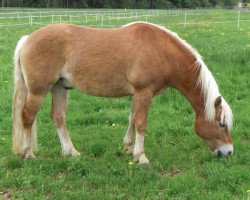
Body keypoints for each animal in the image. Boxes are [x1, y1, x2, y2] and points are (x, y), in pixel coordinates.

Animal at [12, 21, 234, 164]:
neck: (162, 51)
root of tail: (27, 39)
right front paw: (141, 157)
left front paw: (128, 148)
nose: (229, 152)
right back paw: (28, 154)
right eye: (222, 124)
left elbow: (132, 119)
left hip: (59, 88)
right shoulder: (144, 92)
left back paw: (71, 152)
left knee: (58, 118)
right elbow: (141, 123)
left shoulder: (137, 94)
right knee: (27, 117)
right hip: (38, 92)